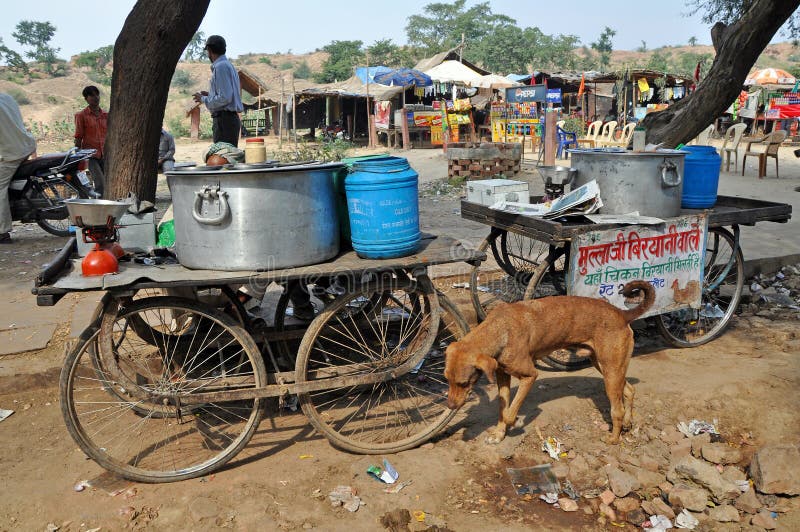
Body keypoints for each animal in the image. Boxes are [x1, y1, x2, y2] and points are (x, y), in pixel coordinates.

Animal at [444, 280, 656, 446]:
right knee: (629, 390)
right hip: (606, 366)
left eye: (464, 383)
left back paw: (613, 438)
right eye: (447, 380)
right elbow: (502, 409)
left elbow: (510, 412)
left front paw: (513, 423)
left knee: (617, 408)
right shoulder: (502, 375)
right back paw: (627, 423)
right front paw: (498, 434)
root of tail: (621, 313)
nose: (451, 406)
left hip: (610, 370)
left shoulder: (529, 376)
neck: (499, 329)